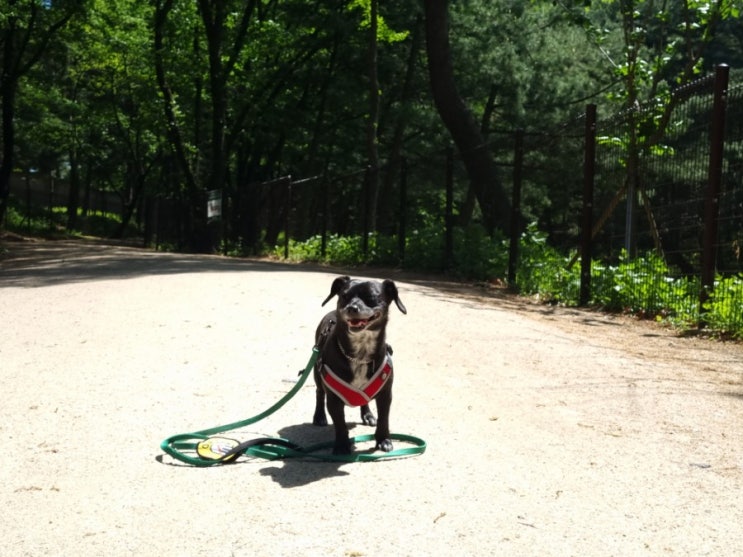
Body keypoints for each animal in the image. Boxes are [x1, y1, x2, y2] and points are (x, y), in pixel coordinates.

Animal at [312, 274, 406, 452]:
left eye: (371, 297)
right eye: (344, 296)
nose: (351, 307)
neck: (360, 353)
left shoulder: (385, 394)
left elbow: (384, 419)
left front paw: (384, 439)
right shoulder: (333, 399)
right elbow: (340, 424)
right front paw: (342, 446)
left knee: (365, 399)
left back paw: (367, 415)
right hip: (317, 372)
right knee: (319, 393)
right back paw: (319, 416)